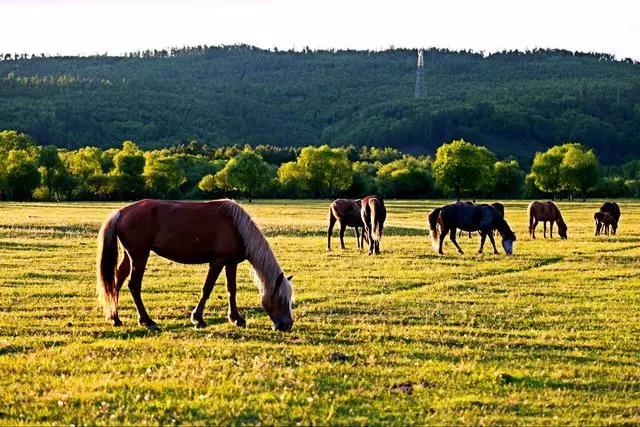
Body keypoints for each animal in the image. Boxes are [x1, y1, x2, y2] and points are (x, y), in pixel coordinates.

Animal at [95, 199, 296, 332]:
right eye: (281, 299)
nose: (287, 325)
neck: (236, 226)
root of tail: (121, 212)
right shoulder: (217, 262)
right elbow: (207, 289)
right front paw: (198, 319)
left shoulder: (230, 263)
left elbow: (232, 289)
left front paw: (236, 319)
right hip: (139, 256)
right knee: (134, 285)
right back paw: (146, 320)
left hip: (130, 256)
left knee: (117, 281)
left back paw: (115, 318)